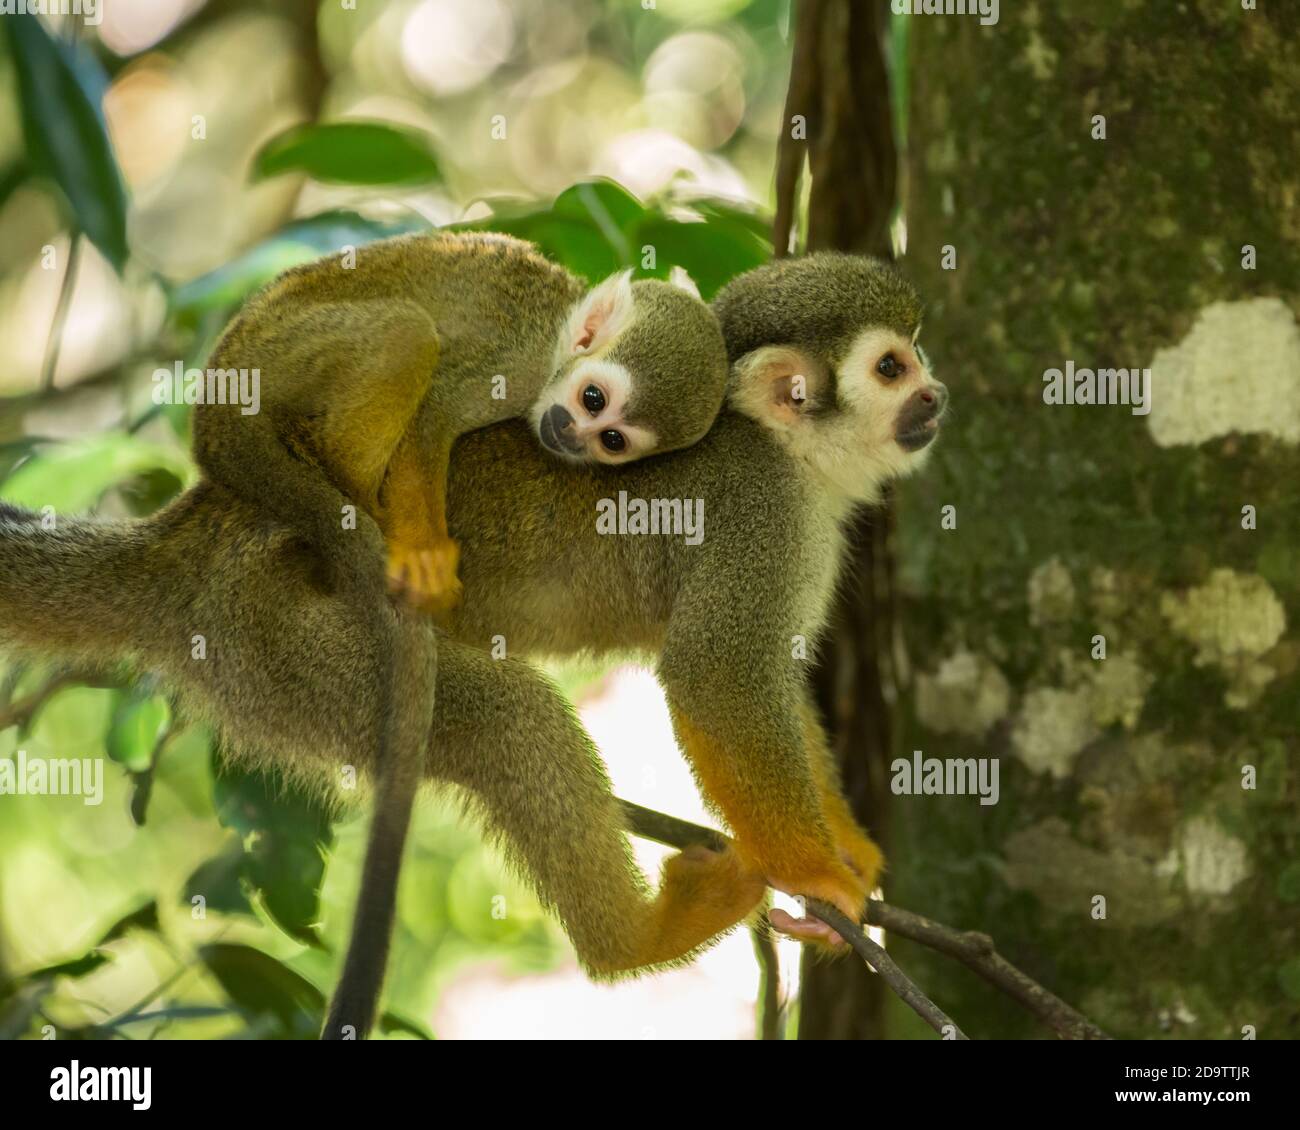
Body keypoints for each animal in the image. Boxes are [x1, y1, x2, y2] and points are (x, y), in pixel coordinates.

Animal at [0, 252, 946, 1034]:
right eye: (892, 367)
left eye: (917, 358)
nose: (936, 395)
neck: (799, 461)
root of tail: (195, 536)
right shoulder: (763, 512)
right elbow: (719, 679)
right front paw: (817, 874)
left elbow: (768, 682)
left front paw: (851, 854)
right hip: (277, 642)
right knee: (507, 716)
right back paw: (637, 938)